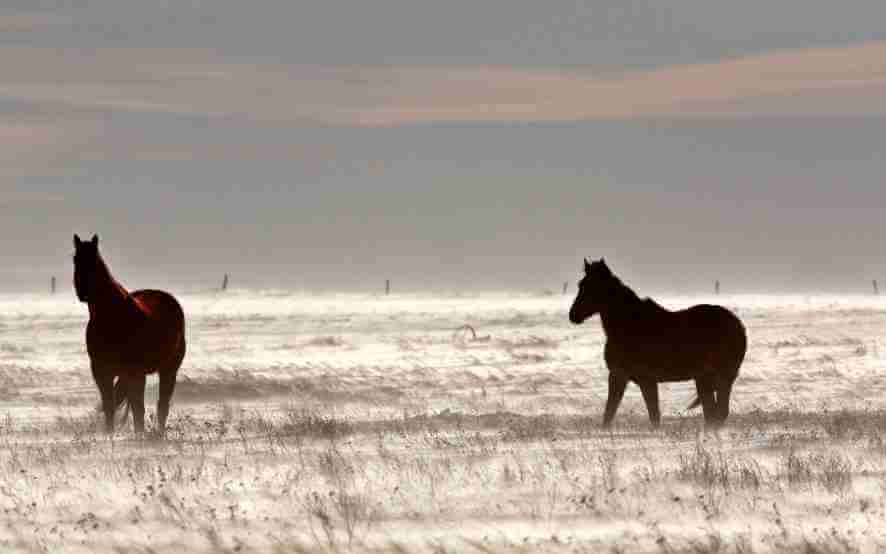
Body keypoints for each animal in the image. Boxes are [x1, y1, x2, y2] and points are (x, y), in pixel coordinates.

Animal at [73, 234, 186, 435]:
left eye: (95, 261)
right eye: (75, 259)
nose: (82, 291)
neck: (113, 318)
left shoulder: (134, 371)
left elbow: (137, 407)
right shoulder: (101, 371)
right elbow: (109, 405)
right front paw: (109, 434)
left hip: (167, 370)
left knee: (161, 405)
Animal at [569, 258, 746, 428]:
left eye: (594, 286)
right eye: (581, 284)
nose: (573, 315)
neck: (628, 325)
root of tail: (738, 325)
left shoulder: (639, 379)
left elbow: (650, 415)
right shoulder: (622, 376)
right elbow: (611, 413)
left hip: (721, 377)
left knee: (718, 412)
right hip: (705, 378)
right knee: (713, 413)